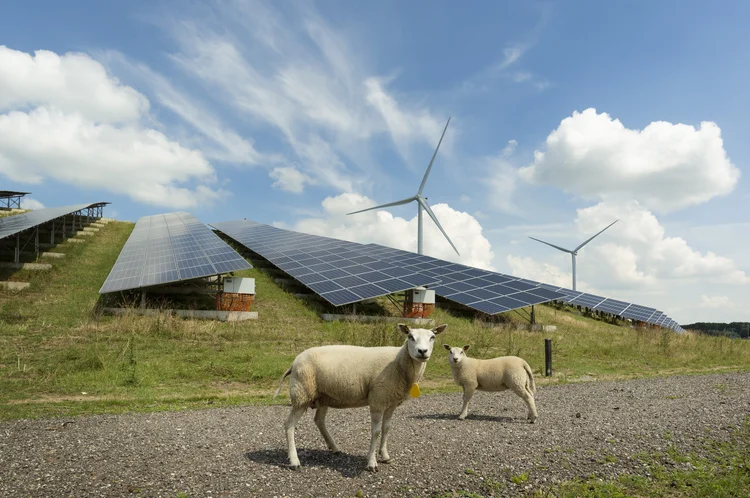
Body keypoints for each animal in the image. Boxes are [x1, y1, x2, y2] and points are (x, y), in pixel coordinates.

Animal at [278, 322, 450, 470]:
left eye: (432, 337)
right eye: (410, 336)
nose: (422, 352)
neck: (399, 363)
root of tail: (294, 362)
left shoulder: (391, 401)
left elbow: (386, 428)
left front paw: (385, 456)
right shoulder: (377, 399)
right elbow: (376, 431)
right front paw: (372, 462)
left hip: (322, 396)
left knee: (319, 420)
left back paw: (334, 447)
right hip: (302, 393)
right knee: (289, 424)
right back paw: (294, 460)